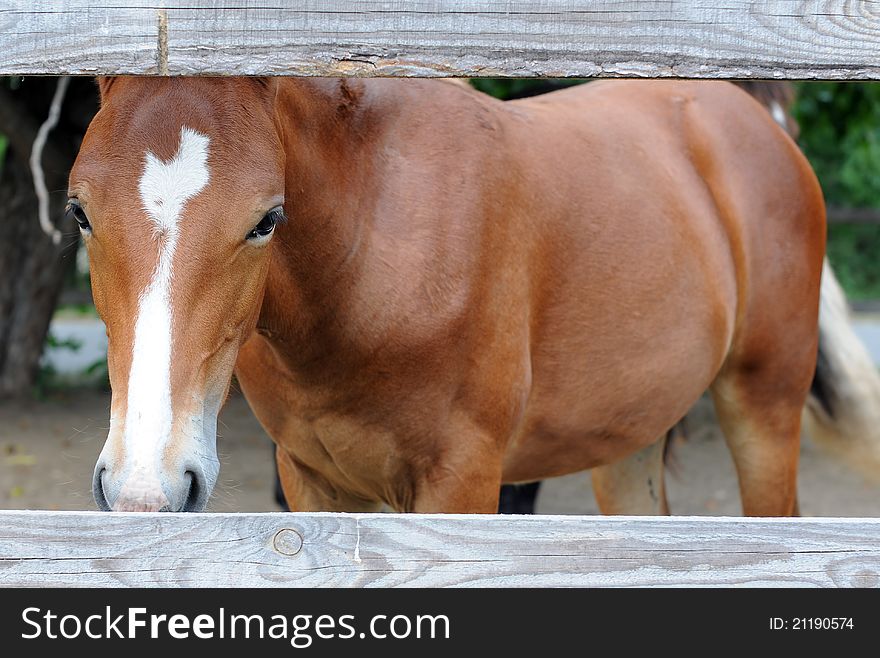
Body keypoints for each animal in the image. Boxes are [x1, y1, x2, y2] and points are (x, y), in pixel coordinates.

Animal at [69, 77, 824, 516]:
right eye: (79, 211)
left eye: (266, 220)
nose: (144, 487)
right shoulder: (313, 482)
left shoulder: (462, 484)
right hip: (630, 433)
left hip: (764, 408)